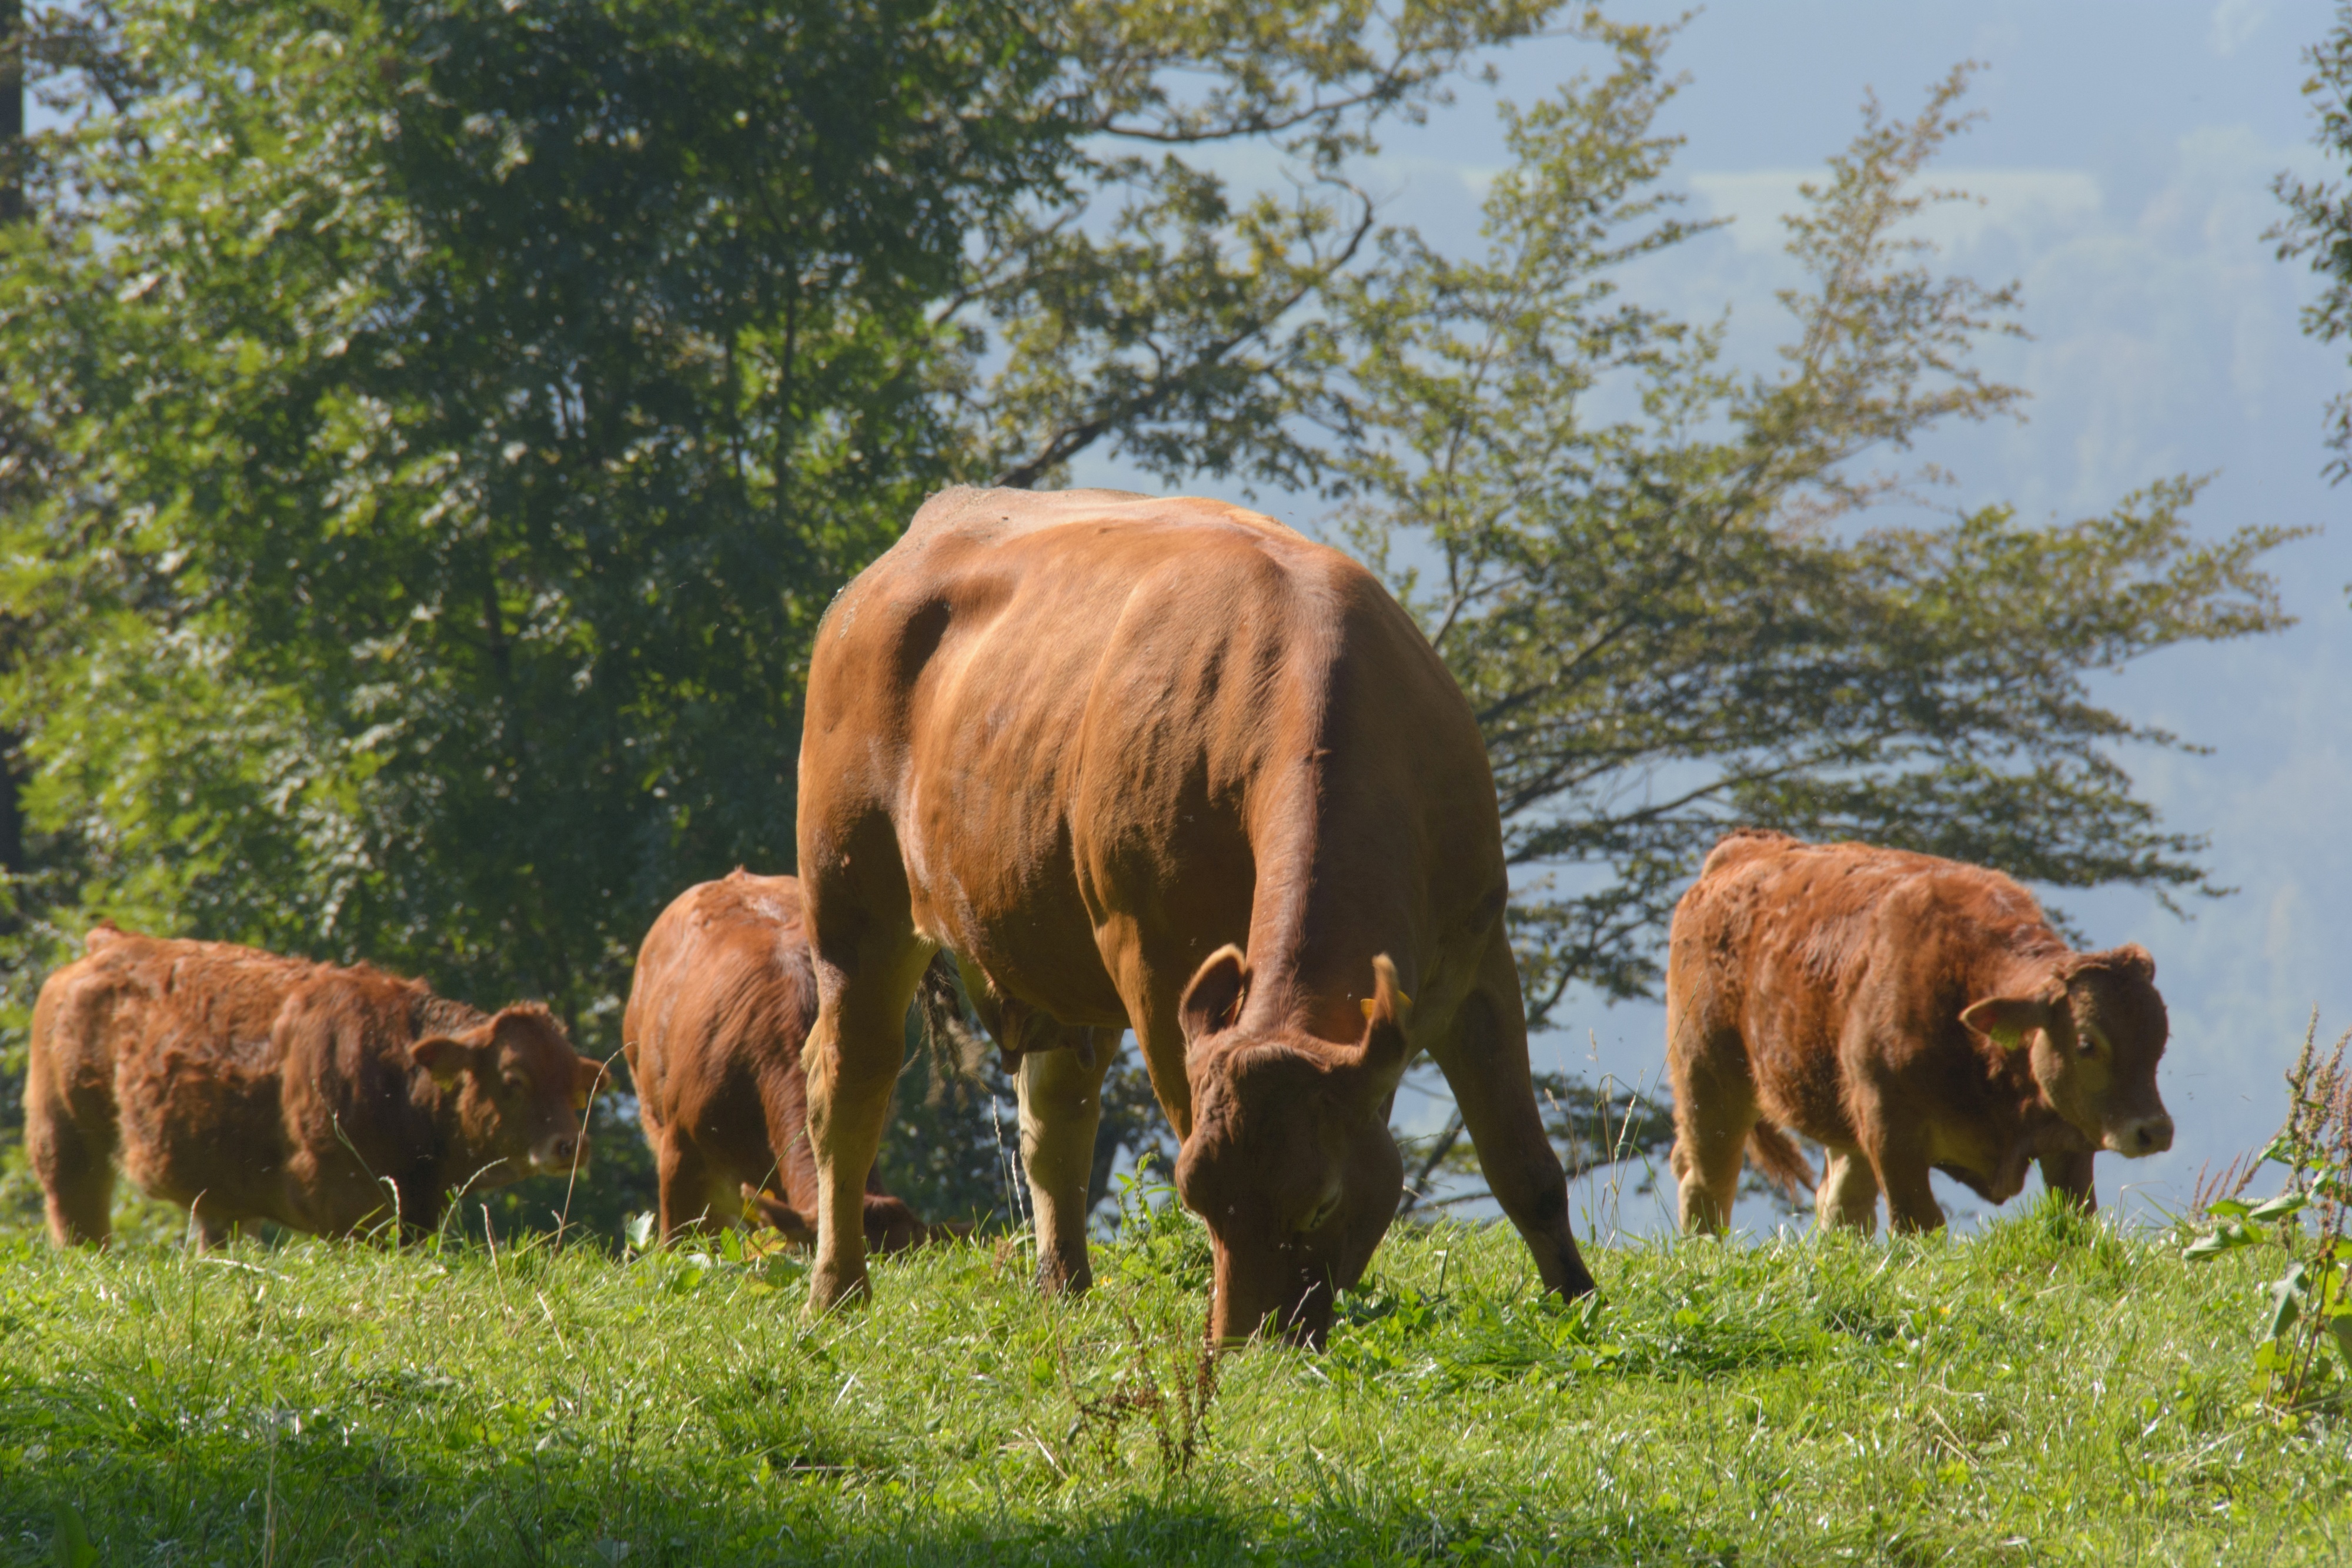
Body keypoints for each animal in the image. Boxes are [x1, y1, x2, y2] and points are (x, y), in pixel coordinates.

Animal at [29, 921, 597, 1251]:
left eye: (575, 1087)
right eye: (514, 1079)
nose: (571, 1144)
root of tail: (115, 940)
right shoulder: (349, 1204)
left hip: (217, 1186)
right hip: (65, 1139)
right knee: (77, 1221)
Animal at [795, 484, 1599, 1345]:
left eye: (1322, 1201)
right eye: (1195, 1195)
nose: (1253, 1345)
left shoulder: (1478, 951)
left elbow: (1523, 1164)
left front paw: (1581, 1302)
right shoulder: (1152, 957)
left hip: (1054, 947)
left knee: (1054, 1116)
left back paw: (1064, 1287)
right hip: (853, 901)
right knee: (848, 1084)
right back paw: (838, 1290)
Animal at [1665, 832, 2173, 1241]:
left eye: (2159, 1043)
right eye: (2087, 1043)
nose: (2154, 1130)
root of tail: (1746, 847)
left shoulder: (2069, 1141)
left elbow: (2076, 1219)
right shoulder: (1892, 1131)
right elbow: (1919, 1222)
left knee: (1841, 1202)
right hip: (1707, 1078)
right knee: (1706, 1183)